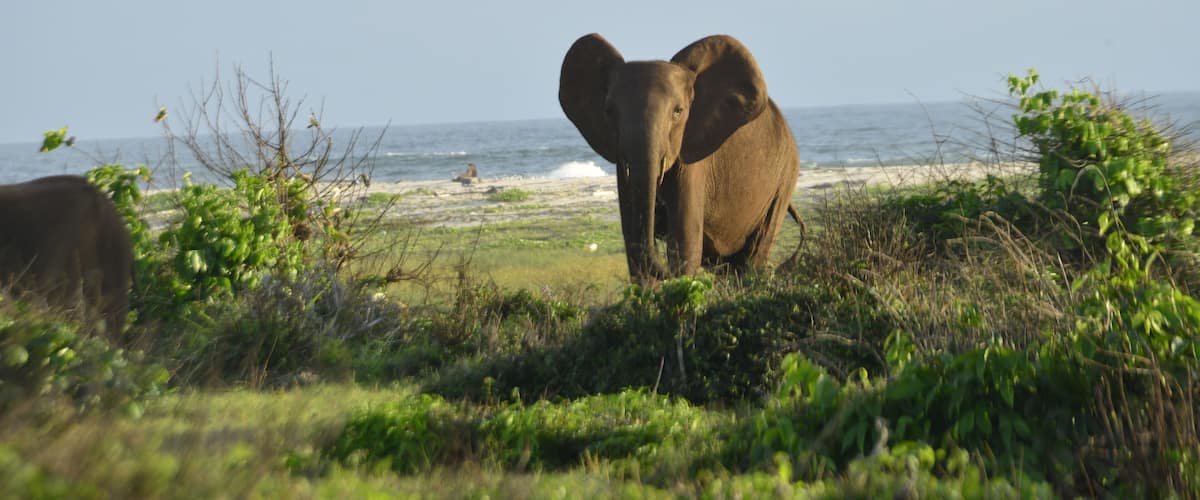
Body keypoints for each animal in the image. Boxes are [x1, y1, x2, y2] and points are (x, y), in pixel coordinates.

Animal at [559, 33, 802, 285]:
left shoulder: (694, 157)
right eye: (609, 112)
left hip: (785, 177)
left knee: (754, 254)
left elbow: (685, 242)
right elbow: (633, 247)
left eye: (678, 111)